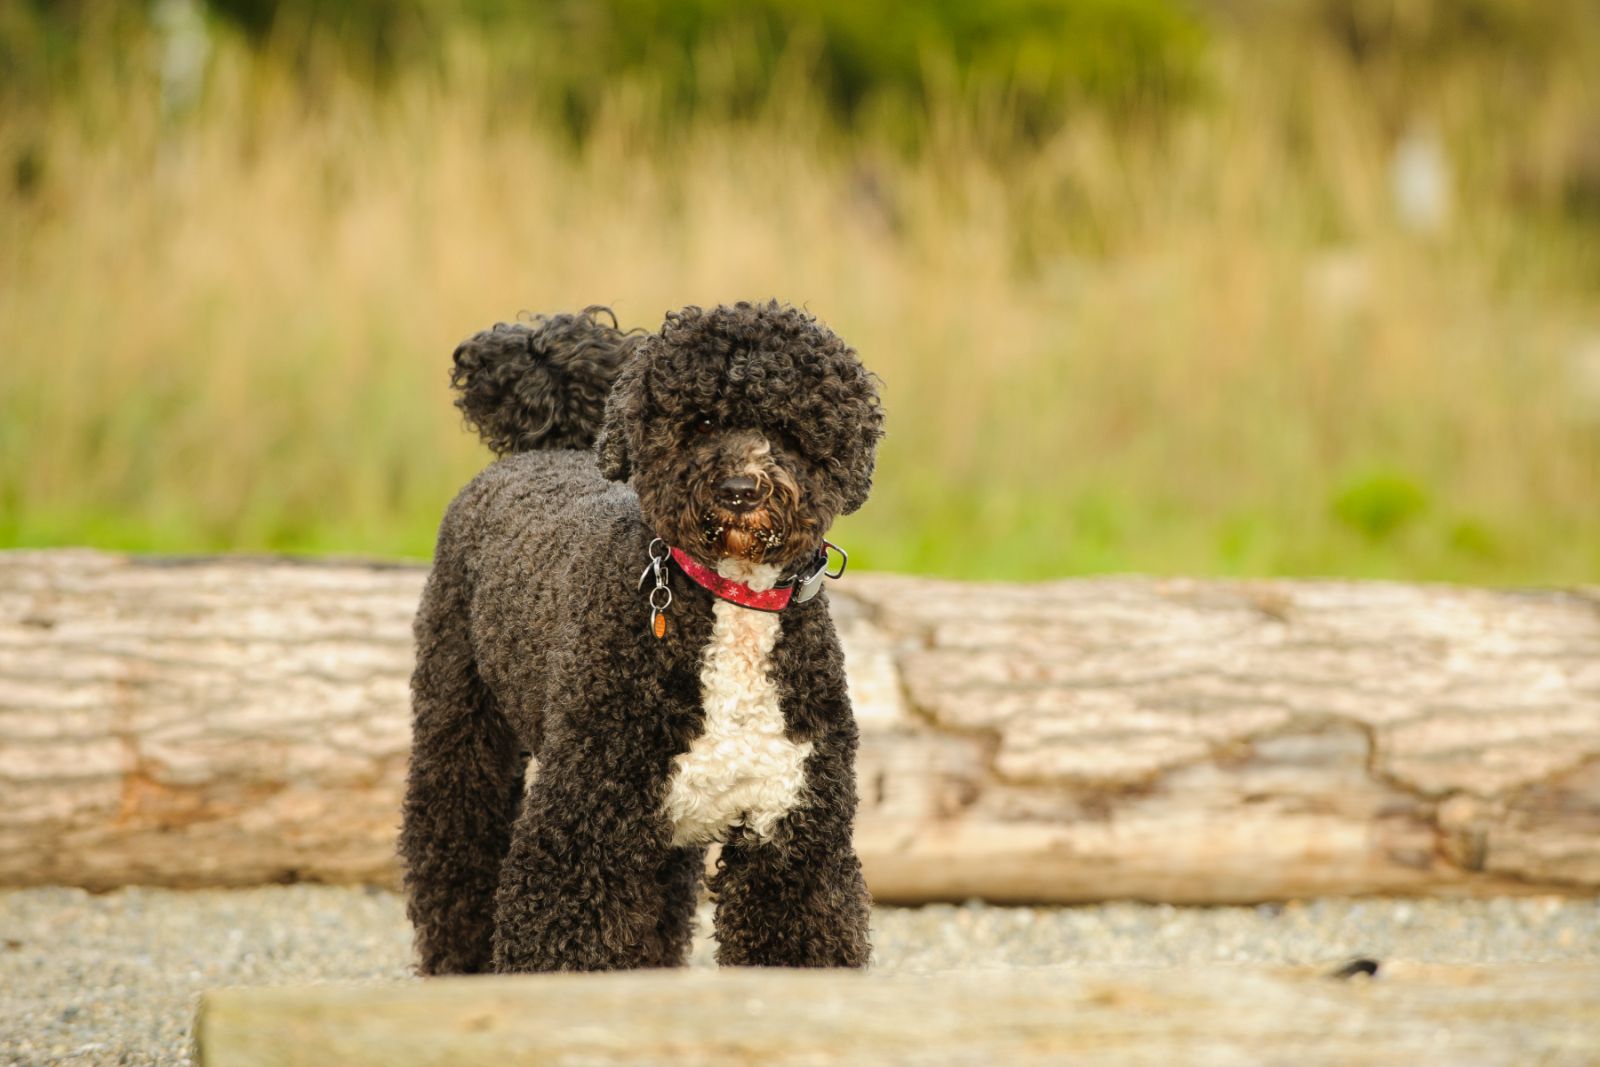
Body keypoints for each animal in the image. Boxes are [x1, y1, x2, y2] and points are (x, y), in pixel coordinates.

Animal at [396, 300, 876, 979]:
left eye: (787, 428)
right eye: (701, 421)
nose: (740, 491)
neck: (731, 604)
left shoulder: (792, 839)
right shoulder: (580, 830)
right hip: (461, 726)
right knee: (453, 852)